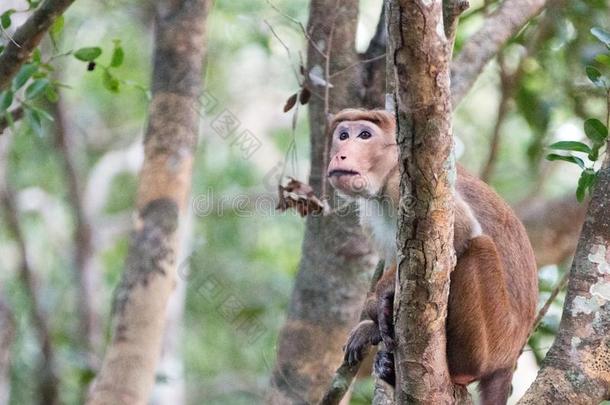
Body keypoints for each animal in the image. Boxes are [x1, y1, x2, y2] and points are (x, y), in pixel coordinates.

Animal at [326, 108, 536, 404]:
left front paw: (376, 303)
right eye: (343, 135)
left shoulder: (399, 187)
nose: (340, 154)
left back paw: (460, 368)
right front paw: (372, 325)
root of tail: (510, 358)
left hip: (495, 338)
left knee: (478, 246)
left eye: (364, 135)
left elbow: (463, 231)